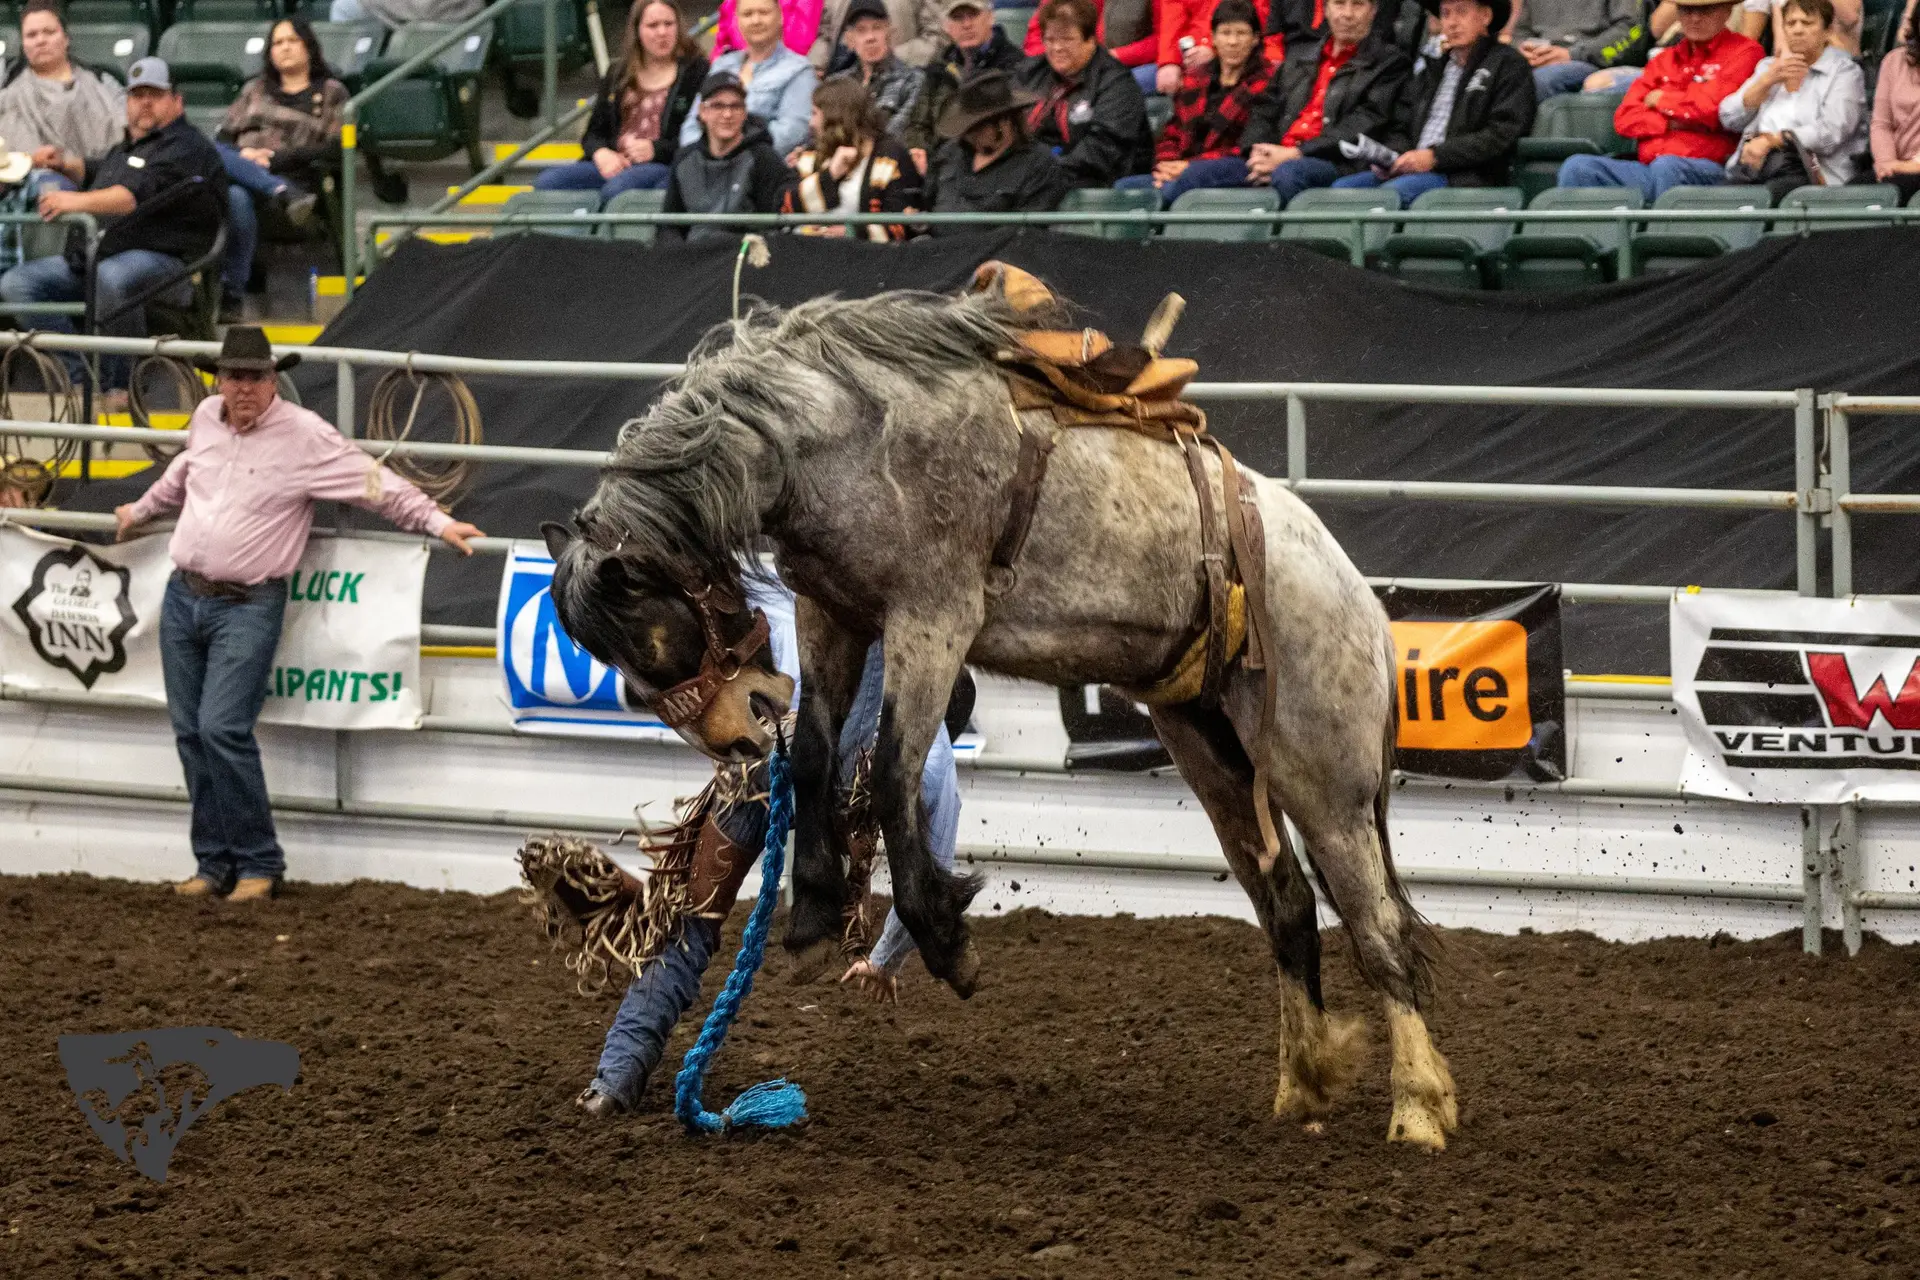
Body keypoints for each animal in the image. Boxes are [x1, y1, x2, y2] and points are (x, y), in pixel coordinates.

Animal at [541, 262, 1451, 1151]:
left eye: (653, 641)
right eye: (629, 679)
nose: (734, 737)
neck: (834, 435)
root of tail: (1363, 606)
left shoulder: (934, 617)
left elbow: (891, 776)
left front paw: (948, 941)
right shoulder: (831, 612)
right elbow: (813, 758)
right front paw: (811, 915)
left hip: (1321, 774)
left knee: (1378, 928)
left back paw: (1418, 1108)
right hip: (1213, 750)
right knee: (1288, 907)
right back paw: (1303, 1084)